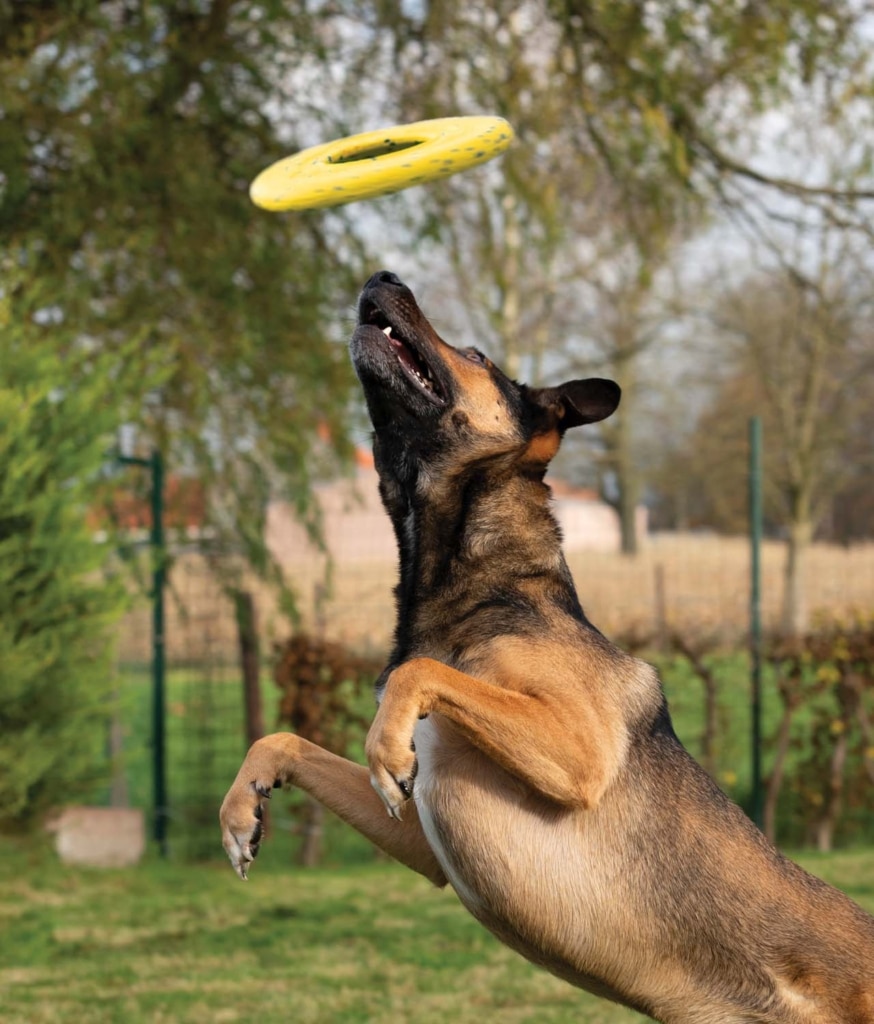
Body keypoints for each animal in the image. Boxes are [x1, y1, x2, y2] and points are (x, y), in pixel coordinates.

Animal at [222, 270, 874, 1024]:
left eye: (475, 354)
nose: (382, 277)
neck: (478, 577)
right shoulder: (423, 836)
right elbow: (283, 738)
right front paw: (241, 812)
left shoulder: (579, 747)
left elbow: (421, 670)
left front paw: (384, 747)